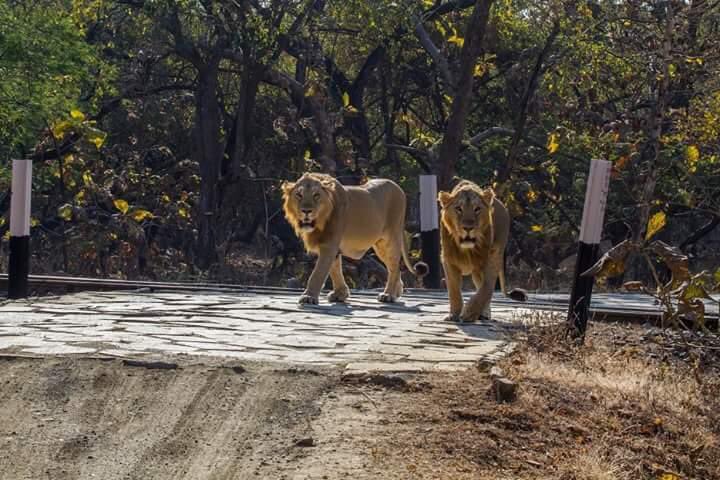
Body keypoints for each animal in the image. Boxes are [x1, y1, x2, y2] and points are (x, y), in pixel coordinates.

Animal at [282, 174, 428, 306]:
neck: (319, 222)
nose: (306, 211)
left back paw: (389, 295)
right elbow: (335, 270)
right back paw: (397, 292)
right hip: (380, 246)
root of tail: (398, 187)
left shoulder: (329, 245)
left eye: (316, 195)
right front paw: (340, 294)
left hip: (391, 239)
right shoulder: (333, 248)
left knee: (394, 267)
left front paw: (309, 297)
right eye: (299, 195)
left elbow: (318, 273)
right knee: (394, 267)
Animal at [436, 180, 524, 322]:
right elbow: (454, 290)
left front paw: (469, 312)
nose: (468, 227)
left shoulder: (490, 259)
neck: (467, 249)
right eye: (458, 209)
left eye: (477, 209)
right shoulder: (448, 261)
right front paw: (454, 315)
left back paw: (484, 314)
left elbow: (486, 288)